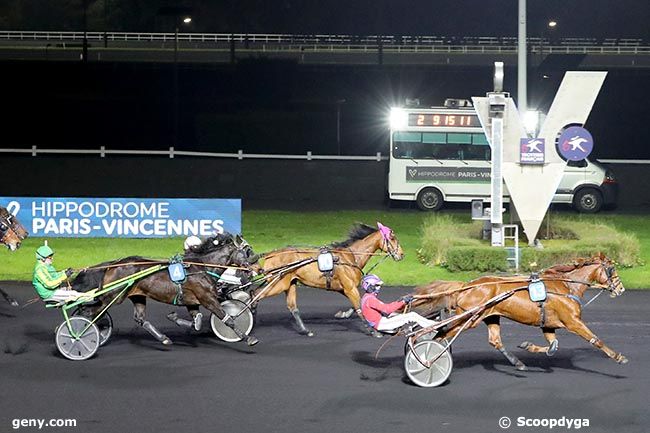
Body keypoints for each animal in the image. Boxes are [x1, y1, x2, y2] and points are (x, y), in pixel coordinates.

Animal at [254, 223, 400, 338]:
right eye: (392, 238)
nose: (401, 254)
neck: (350, 257)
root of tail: (270, 254)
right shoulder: (349, 288)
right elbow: (359, 307)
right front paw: (373, 331)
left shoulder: (343, 288)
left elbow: (357, 305)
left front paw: (343, 314)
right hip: (279, 283)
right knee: (255, 295)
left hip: (289, 283)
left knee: (292, 307)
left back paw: (306, 330)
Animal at [410, 255, 624, 370]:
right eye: (612, 269)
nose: (621, 289)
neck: (566, 287)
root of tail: (466, 286)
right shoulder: (573, 322)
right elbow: (595, 340)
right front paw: (618, 357)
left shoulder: (548, 324)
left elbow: (552, 346)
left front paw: (527, 346)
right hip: (469, 318)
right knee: (440, 335)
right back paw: (426, 358)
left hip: (490, 316)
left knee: (494, 340)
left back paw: (518, 363)